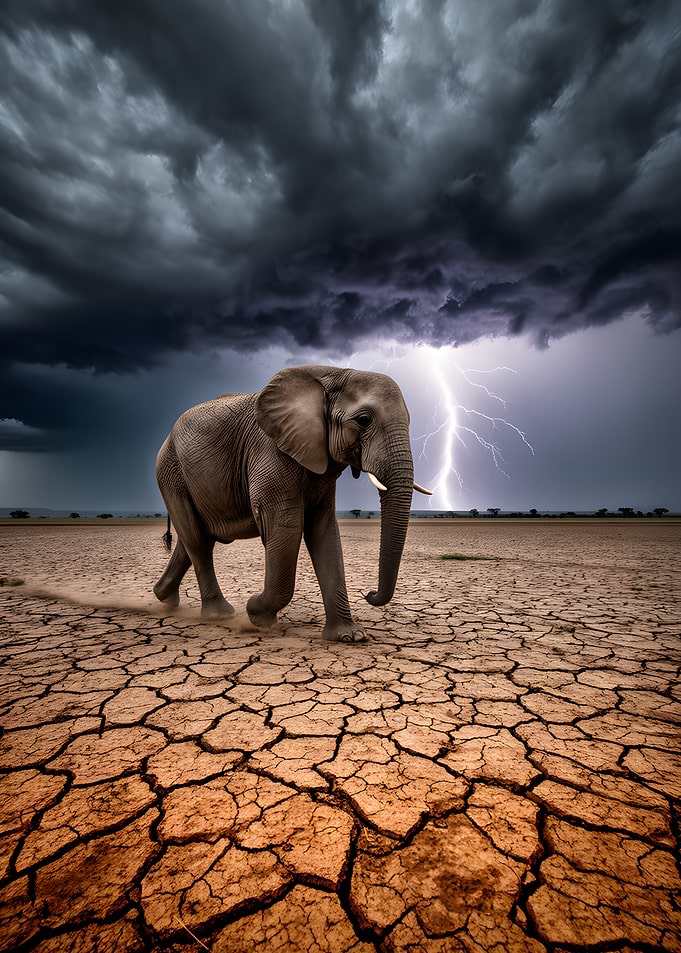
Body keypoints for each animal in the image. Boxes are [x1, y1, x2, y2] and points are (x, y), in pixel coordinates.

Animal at [153, 364, 431, 642]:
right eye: (364, 420)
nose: (369, 594)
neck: (333, 373)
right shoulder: (270, 451)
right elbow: (285, 526)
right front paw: (256, 614)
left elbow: (324, 532)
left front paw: (349, 636)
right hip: (171, 472)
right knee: (198, 541)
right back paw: (220, 615)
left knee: (194, 539)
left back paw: (164, 597)